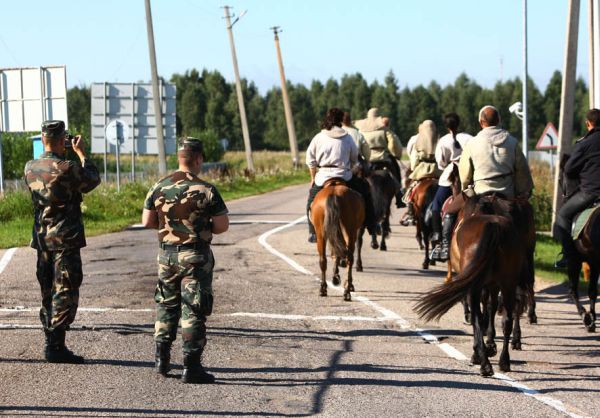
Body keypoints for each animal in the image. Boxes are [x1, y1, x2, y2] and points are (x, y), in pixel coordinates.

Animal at [414, 198, 532, 378]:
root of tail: (494, 226)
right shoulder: (493, 285)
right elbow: (491, 309)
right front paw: (490, 346)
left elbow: (480, 316)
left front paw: (481, 351)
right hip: (508, 283)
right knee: (507, 319)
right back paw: (504, 361)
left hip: (477, 285)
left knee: (478, 316)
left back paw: (484, 364)